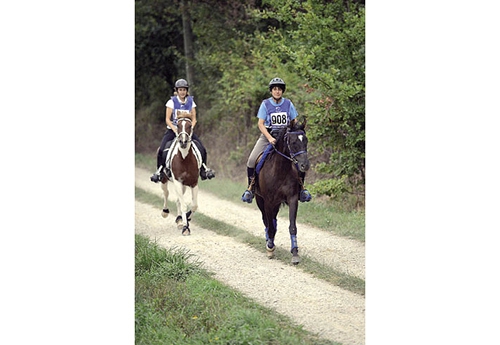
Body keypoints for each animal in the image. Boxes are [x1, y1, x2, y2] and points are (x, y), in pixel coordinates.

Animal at [254, 119, 308, 264]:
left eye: (306, 141)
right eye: (293, 142)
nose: (305, 165)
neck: (280, 170)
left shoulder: (292, 198)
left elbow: (292, 226)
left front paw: (295, 253)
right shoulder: (268, 201)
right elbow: (270, 225)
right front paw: (270, 248)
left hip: (277, 203)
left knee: (273, 220)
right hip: (260, 200)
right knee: (266, 221)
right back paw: (269, 241)